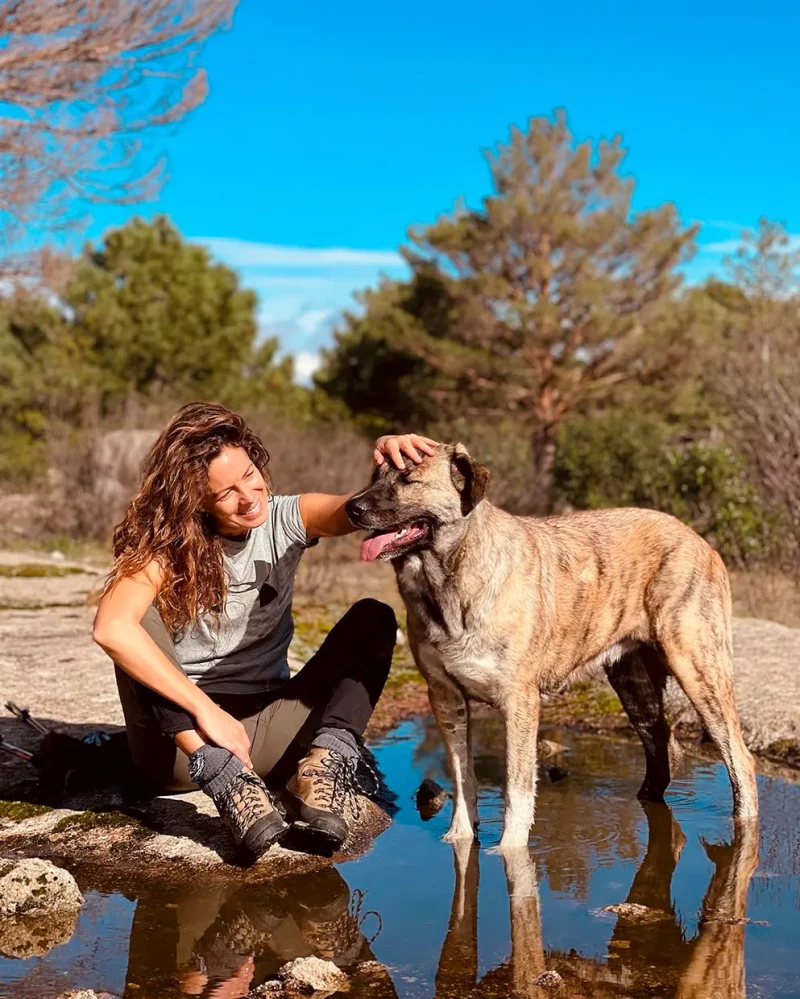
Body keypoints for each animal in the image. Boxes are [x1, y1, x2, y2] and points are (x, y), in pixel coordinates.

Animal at [344, 442, 756, 848]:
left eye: (408, 478)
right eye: (375, 475)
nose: (351, 508)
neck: (449, 580)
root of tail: (700, 540)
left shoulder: (519, 702)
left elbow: (517, 790)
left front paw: (509, 848)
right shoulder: (445, 698)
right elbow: (463, 778)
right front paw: (460, 835)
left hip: (697, 667)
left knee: (740, 759)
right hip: (633, 683)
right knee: (661, 745)